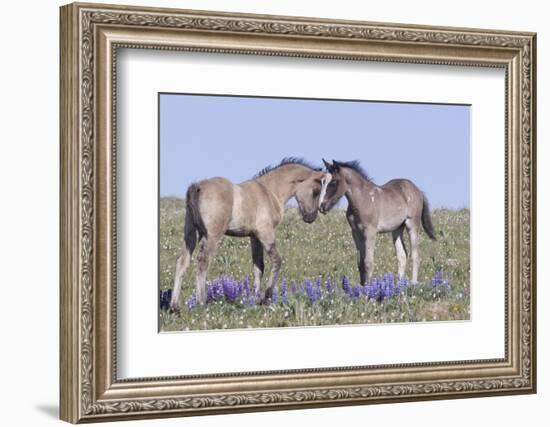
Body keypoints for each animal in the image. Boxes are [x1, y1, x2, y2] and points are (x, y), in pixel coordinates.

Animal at [170, 157, 330, 310]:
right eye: (316, 191)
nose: (311, 217)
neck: (269, 192)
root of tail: (198, 186)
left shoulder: (254, 237)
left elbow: (258, 267)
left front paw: (255, 298)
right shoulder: (265, 232)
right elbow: (277, 261)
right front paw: (266, 297)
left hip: (191, 233)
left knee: (182, 261)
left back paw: (174, 306)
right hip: (212, 236)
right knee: (202, 261)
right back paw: (202, 302)